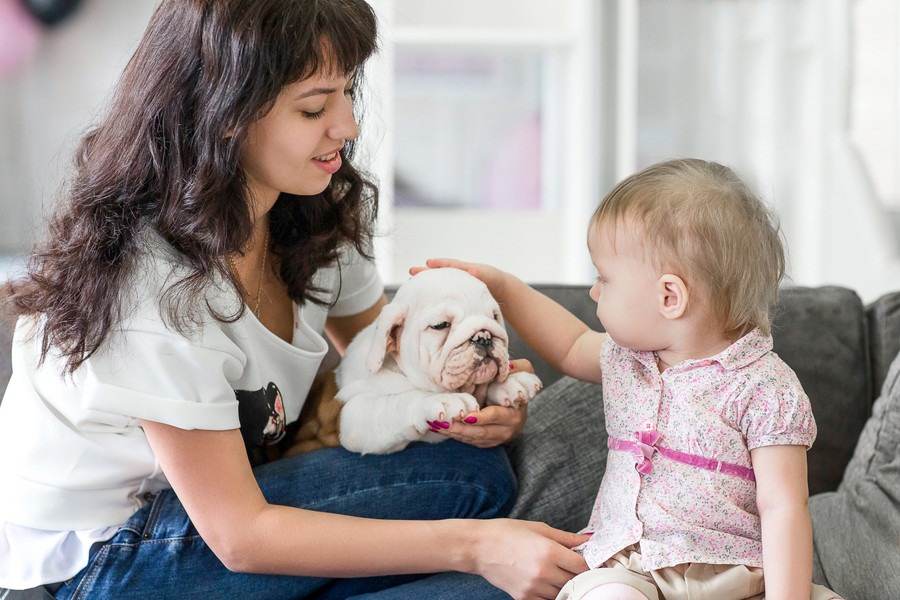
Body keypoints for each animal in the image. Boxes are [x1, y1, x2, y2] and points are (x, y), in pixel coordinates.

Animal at [332, 268, 536, 454]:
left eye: (494, 316)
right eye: (440, 325)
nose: (484, 336)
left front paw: (513, 382)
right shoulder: (354, 417)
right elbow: (397, 402)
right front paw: (443, 400)